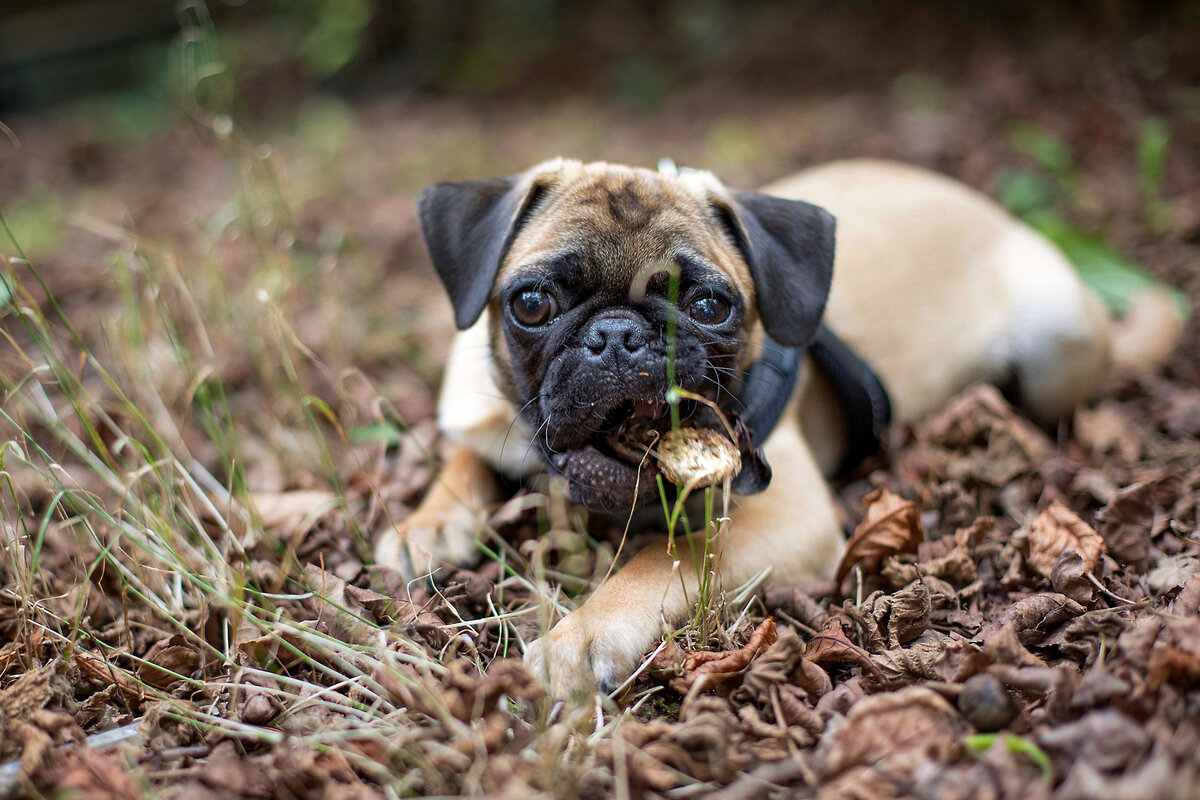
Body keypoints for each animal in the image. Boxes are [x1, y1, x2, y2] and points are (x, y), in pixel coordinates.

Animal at [374, 155, 1180, 695]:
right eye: (532, 303)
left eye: (709, 306)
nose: (619, 335)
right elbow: (462, 459)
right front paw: (427, 523)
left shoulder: (782, 517)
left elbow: (664, 557)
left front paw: (583, 633)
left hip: (1057, 337)